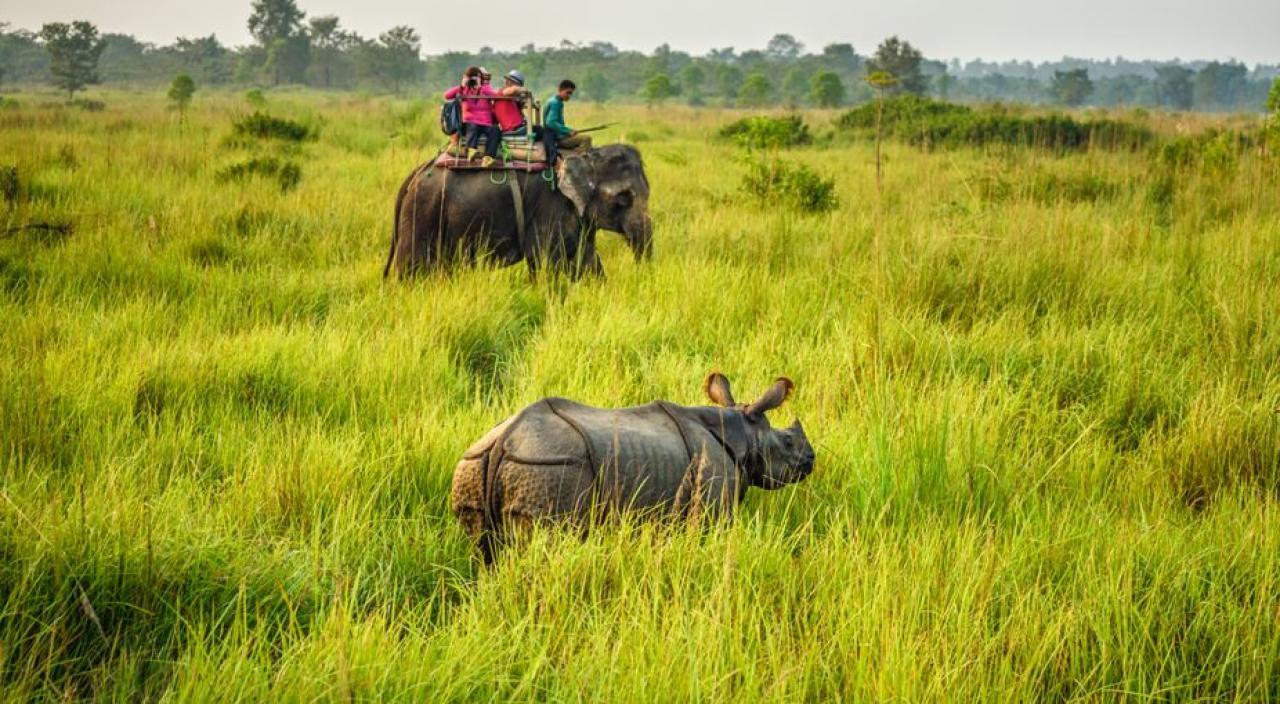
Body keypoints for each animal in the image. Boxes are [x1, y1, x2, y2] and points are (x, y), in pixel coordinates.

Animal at [381, 144, 655, 280]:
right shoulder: (549, 207)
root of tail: (416, 172)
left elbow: (587, 262)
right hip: (423, 209)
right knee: (411, 266)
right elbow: (545, 263)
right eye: (623, 199)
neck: (583, 156)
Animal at [450, 376, 814, 563]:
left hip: (475, 465)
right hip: (550, 469)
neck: (743, 434)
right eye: (788, 442)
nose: (812, 459)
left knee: (483, 550)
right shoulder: (712, 500)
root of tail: (504, 441)